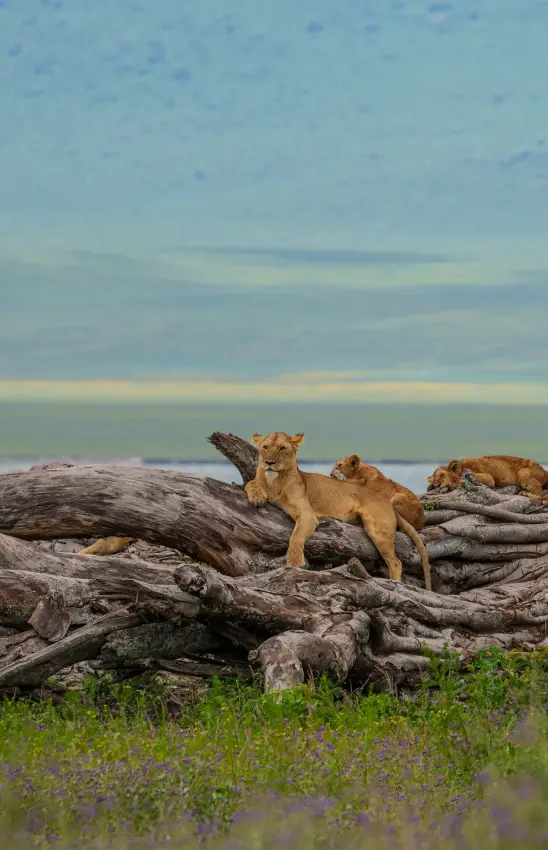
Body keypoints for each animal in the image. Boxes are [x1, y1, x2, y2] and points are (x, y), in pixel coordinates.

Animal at [245, 432, 431, 591]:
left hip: (378, 530)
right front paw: (257, 496)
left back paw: (395, 584)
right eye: (265, 447)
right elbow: (250, 483)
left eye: (282, 448)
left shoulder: (307, 514)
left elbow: (296, 536)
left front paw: (294, 562)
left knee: (396, 562)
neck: (274, 482)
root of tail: (388, 503)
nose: (269, 463)